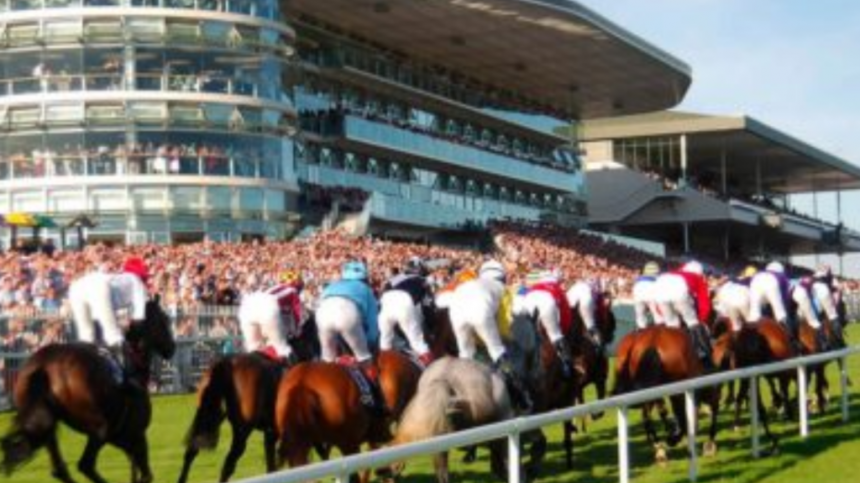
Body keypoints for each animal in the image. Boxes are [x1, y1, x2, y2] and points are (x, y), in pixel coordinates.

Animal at [0, 298, 176, 483]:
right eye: (165, 320)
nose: (172, 347)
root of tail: (43, 365)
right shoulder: (137, 435)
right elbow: (146, 474)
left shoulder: (122, 439)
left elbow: (137, 471)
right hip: (99, 427)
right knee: (85, 464)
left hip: (50, 425)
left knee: (59, 469)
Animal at [176, 316, 320, 483]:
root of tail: (226, 363)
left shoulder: (271, 433)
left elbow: (272, 467)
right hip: (242, 430)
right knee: (228, 464)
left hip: (208, 416)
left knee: (192, 451)